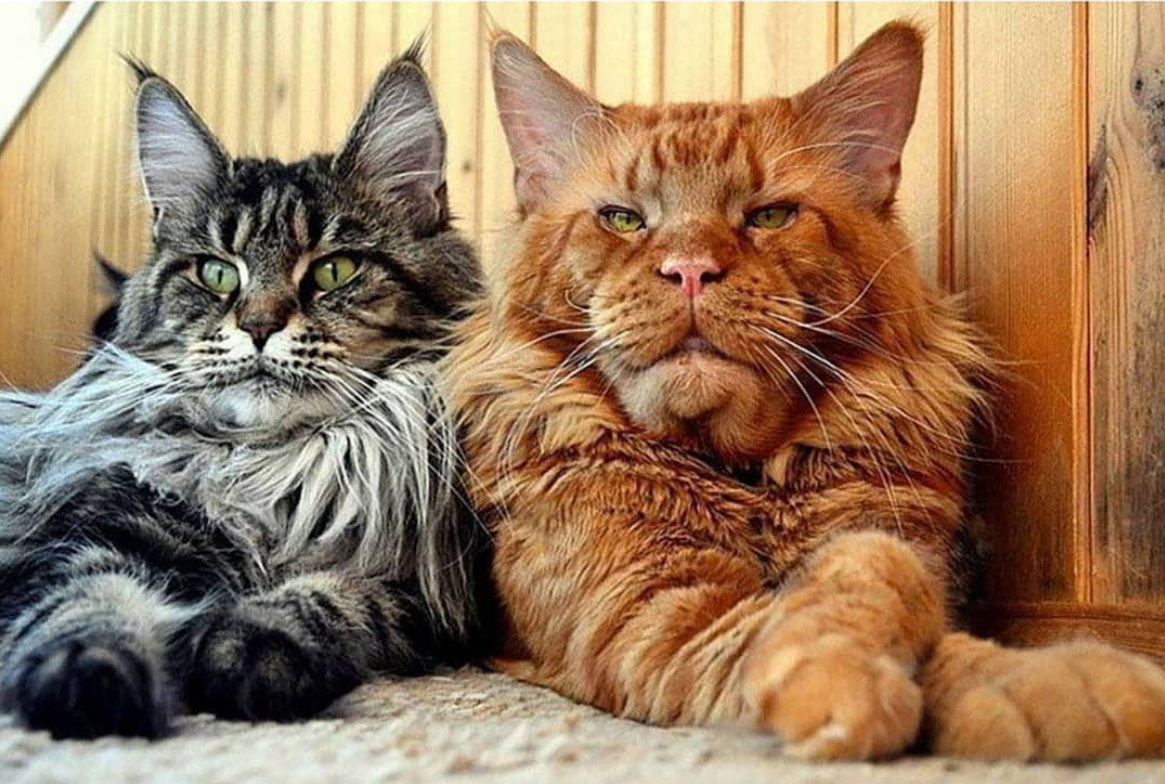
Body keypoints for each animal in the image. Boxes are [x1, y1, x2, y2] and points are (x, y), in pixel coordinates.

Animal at [0, 45, 483, 740]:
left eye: (334, 270)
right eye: (217, 273)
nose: (258, 326)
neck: (275, 468)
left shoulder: (427, 594)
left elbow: (334, 599)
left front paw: (250, 647)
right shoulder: (103, 531)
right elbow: (84, 600)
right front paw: (85, 679)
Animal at [442, 22, 1165, 762]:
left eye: (771, 216)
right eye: (621, 219)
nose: (691, 270)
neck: (741, 474)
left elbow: (925, 620)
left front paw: (1047, 682)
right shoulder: (650, 605)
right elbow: (820, 599)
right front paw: (843, 685)